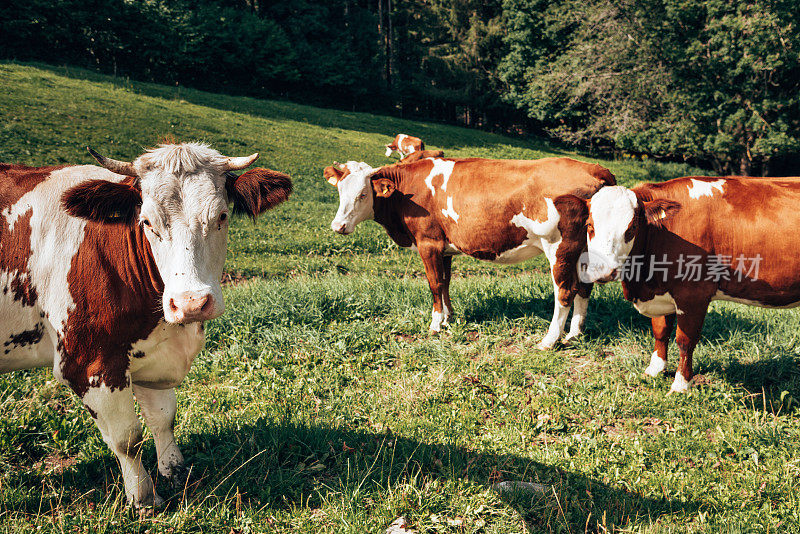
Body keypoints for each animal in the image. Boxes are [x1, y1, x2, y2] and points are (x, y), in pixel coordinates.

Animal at [0, 142, 294, 506]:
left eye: (222, 216)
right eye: (147, 221)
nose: (191, 303)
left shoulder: (148, 352)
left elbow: (163, 418)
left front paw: (174, 470)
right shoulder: (89, 362)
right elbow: (126, 437)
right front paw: (142, 496)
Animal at [322, 157, 616, 350]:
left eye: (363, 194)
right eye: (339, 191)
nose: (338, 226)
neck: (407, 193)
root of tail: (594, 167)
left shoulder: (428, 242)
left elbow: (434, 283)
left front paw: (435, 324)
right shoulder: (445, 248)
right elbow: (445, 283)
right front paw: (449, 317)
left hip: (559, 247)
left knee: (565, 291)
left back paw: (549, 340)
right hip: (585, 250)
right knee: (584, 288)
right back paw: (575, 334)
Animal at [572, 179, 800, 394]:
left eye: (632, 228)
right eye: (589, 225)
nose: (603, 271)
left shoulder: (693, 295)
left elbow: (685, 341)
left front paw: (681, 384)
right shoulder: (661, 292)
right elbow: (660, 331)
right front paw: (655, 369)